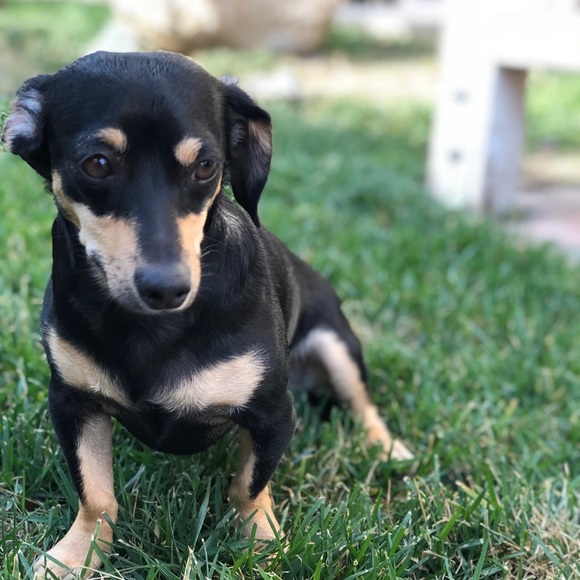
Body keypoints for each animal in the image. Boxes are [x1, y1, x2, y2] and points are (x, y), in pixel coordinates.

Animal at [3, 51, 413, 577]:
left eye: (206, 167)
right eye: (97, 163)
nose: (167, 287)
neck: (150, 328)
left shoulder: (273, 413)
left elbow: (249, 488)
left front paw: (261, 545)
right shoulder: (73, 403)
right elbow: (96, 495)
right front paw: (76, 556)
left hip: (337, 344)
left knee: (363, 404)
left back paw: (385, 447)